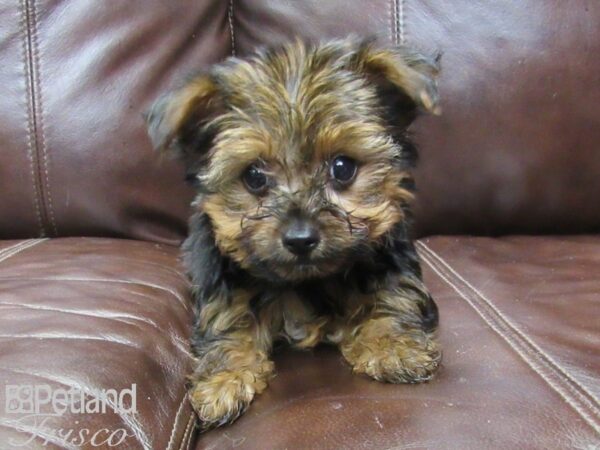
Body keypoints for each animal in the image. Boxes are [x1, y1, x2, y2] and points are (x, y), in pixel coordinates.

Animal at [146, 37, 440, 428]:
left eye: (342, 168)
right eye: (254, 176)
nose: (300, 239)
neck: (306, 281)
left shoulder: (388, 253)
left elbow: (394, 292)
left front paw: (393, 345)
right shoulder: (216, 270)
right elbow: (227, 316)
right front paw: (225, 380)